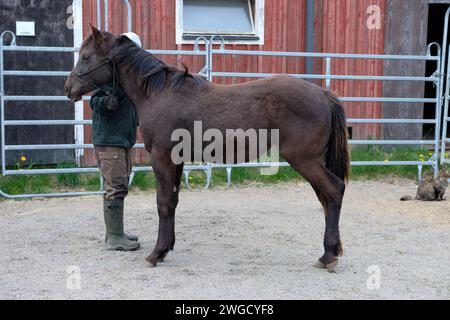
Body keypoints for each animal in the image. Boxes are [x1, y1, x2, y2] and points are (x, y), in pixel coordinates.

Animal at [64, 26, 352, 274]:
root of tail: (323, 94)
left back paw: (328, 256)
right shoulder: (177, 161)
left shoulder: (162, 158)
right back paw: (330, 252)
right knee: (326, 198)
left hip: (305, 160)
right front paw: (166, 248)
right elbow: (173, 202)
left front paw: (156, 253)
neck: (159, 93)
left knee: (335, 190)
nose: (68, 87)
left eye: (86, 56)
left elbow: (163, 204)